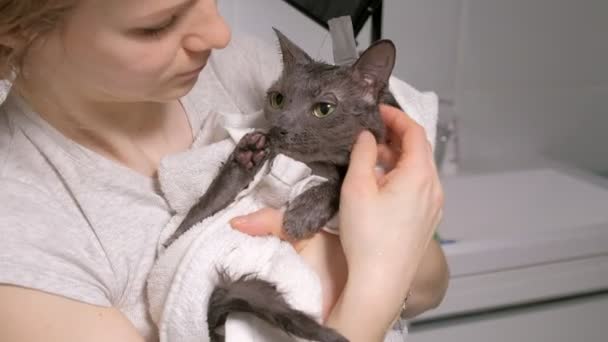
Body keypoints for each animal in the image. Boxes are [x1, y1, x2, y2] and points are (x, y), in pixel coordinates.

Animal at [165, 29, 400, 342]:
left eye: (324, 108)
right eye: (277, 99)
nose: (280, 127)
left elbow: (340, 183)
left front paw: (301, 217)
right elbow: (196, 215)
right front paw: (247, 154)